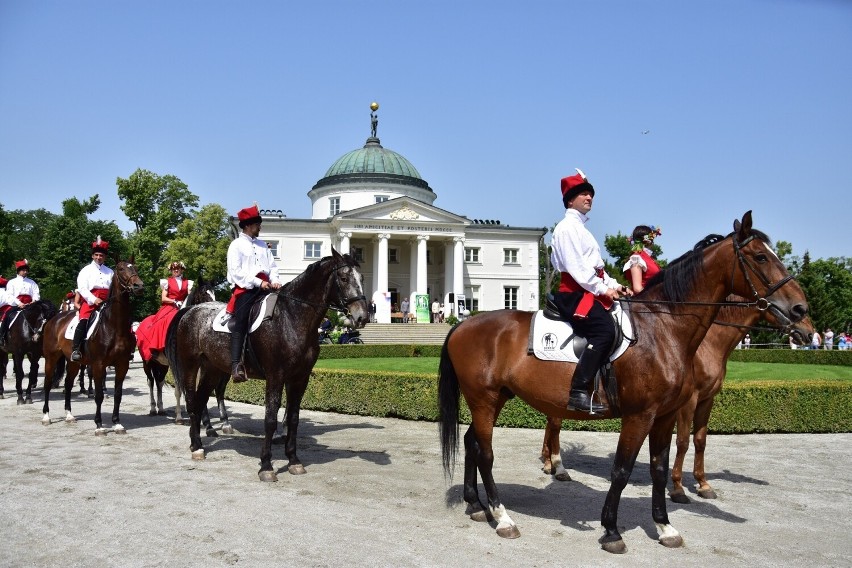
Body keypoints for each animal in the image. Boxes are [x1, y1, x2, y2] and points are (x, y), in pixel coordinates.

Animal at [41, 260, 143, 432]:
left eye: (135, 268)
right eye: (121, 269)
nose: (138, 286)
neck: (114, 326)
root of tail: (55, 319)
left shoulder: (122, 364)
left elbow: (118, 395)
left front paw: (117, 423)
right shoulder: (98, 364)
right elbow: (99, 395)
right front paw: (99, 425)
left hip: (73, 362)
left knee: (68, 383)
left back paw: (69, 415)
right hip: (51, 358)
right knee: (48, 383)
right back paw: (46, 416)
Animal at [165, 248, 368, 480]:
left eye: (361, 278)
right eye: (343, 278)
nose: (362, 316)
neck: (290, 317)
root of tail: (190, 311)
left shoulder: (300, 379)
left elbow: (293, 419)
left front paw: (294, 460)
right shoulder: (275, 376)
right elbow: (270, 419)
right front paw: (266, 466)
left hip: (213, 369)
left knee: (200, 401)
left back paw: (199, 440)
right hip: (190, 366)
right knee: (192, 401)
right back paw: (197, 446)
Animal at [544, 298, 816, 492]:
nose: (810, 332)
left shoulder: (707, 399)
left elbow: (701, 440)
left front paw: (702, 482)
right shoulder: (689, 401)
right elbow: (684, 441)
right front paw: (677, 485)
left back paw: (549, 461)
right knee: (555, 423)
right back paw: (557, 465)